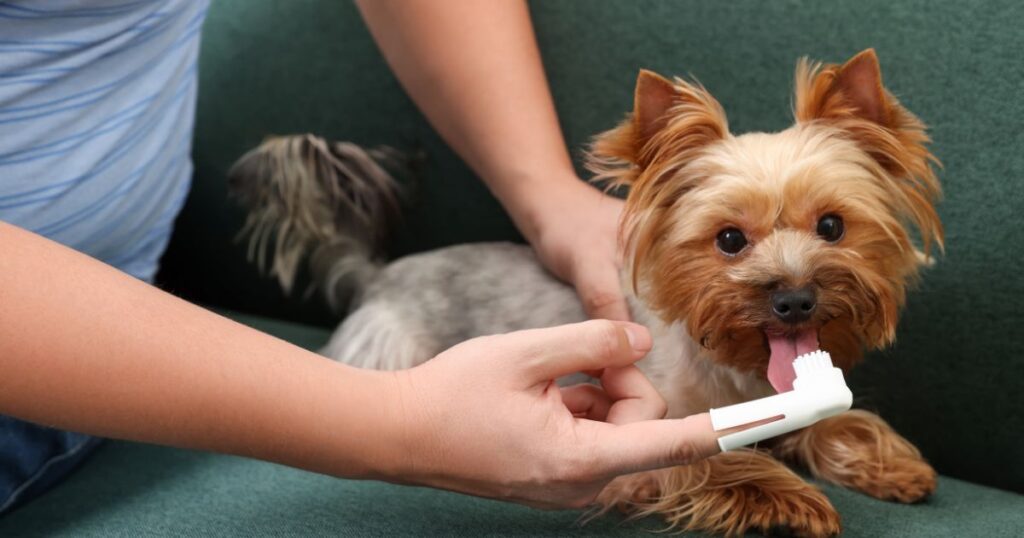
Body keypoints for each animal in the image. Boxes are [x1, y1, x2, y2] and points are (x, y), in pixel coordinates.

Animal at [232, 48, 942, 532]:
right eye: (729, 239)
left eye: (833, 226)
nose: (794, 299)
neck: (737, 365)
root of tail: (378, 272)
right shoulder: (648, 435)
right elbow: (705, 458)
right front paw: (786, 497)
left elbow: (834, 417)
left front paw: (889, 462)